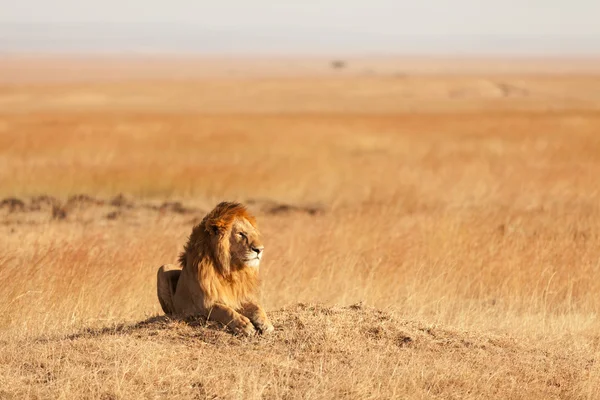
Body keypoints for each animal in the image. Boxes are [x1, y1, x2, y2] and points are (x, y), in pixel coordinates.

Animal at [157, 202, 274, 336]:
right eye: (241, 233)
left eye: (253, 233)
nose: (260, 249)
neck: (228, 271)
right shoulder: (203, 303)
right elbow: (223, 309)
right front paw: (244, 325)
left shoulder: (239, 297)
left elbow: (257, 306)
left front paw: (266, 323)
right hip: (163, 269)